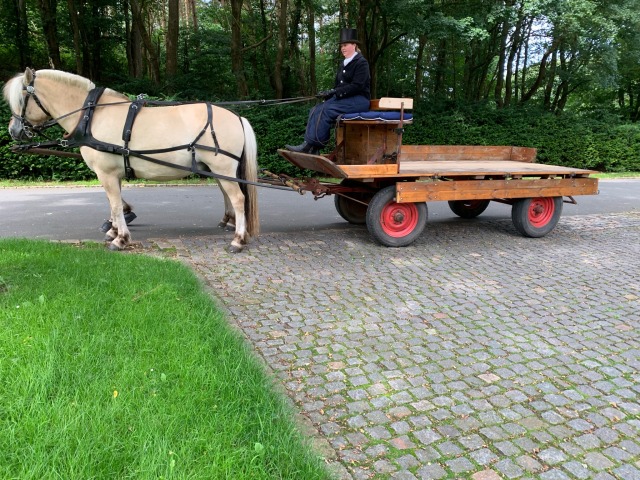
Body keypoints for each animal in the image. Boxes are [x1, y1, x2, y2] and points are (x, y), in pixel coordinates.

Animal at [4, 70, 260, 255]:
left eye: (21, 99)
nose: (13, 130)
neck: (92, 116)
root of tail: (237, 116)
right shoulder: (111, 173)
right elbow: (114, 203)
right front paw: (114, 229)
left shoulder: (106, 173)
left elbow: (115, 204)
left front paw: (120, 239)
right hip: (217, 170)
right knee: (228, 196)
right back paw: (231, 225)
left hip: (222, 167)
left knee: (238, 199)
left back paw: (238, 240)